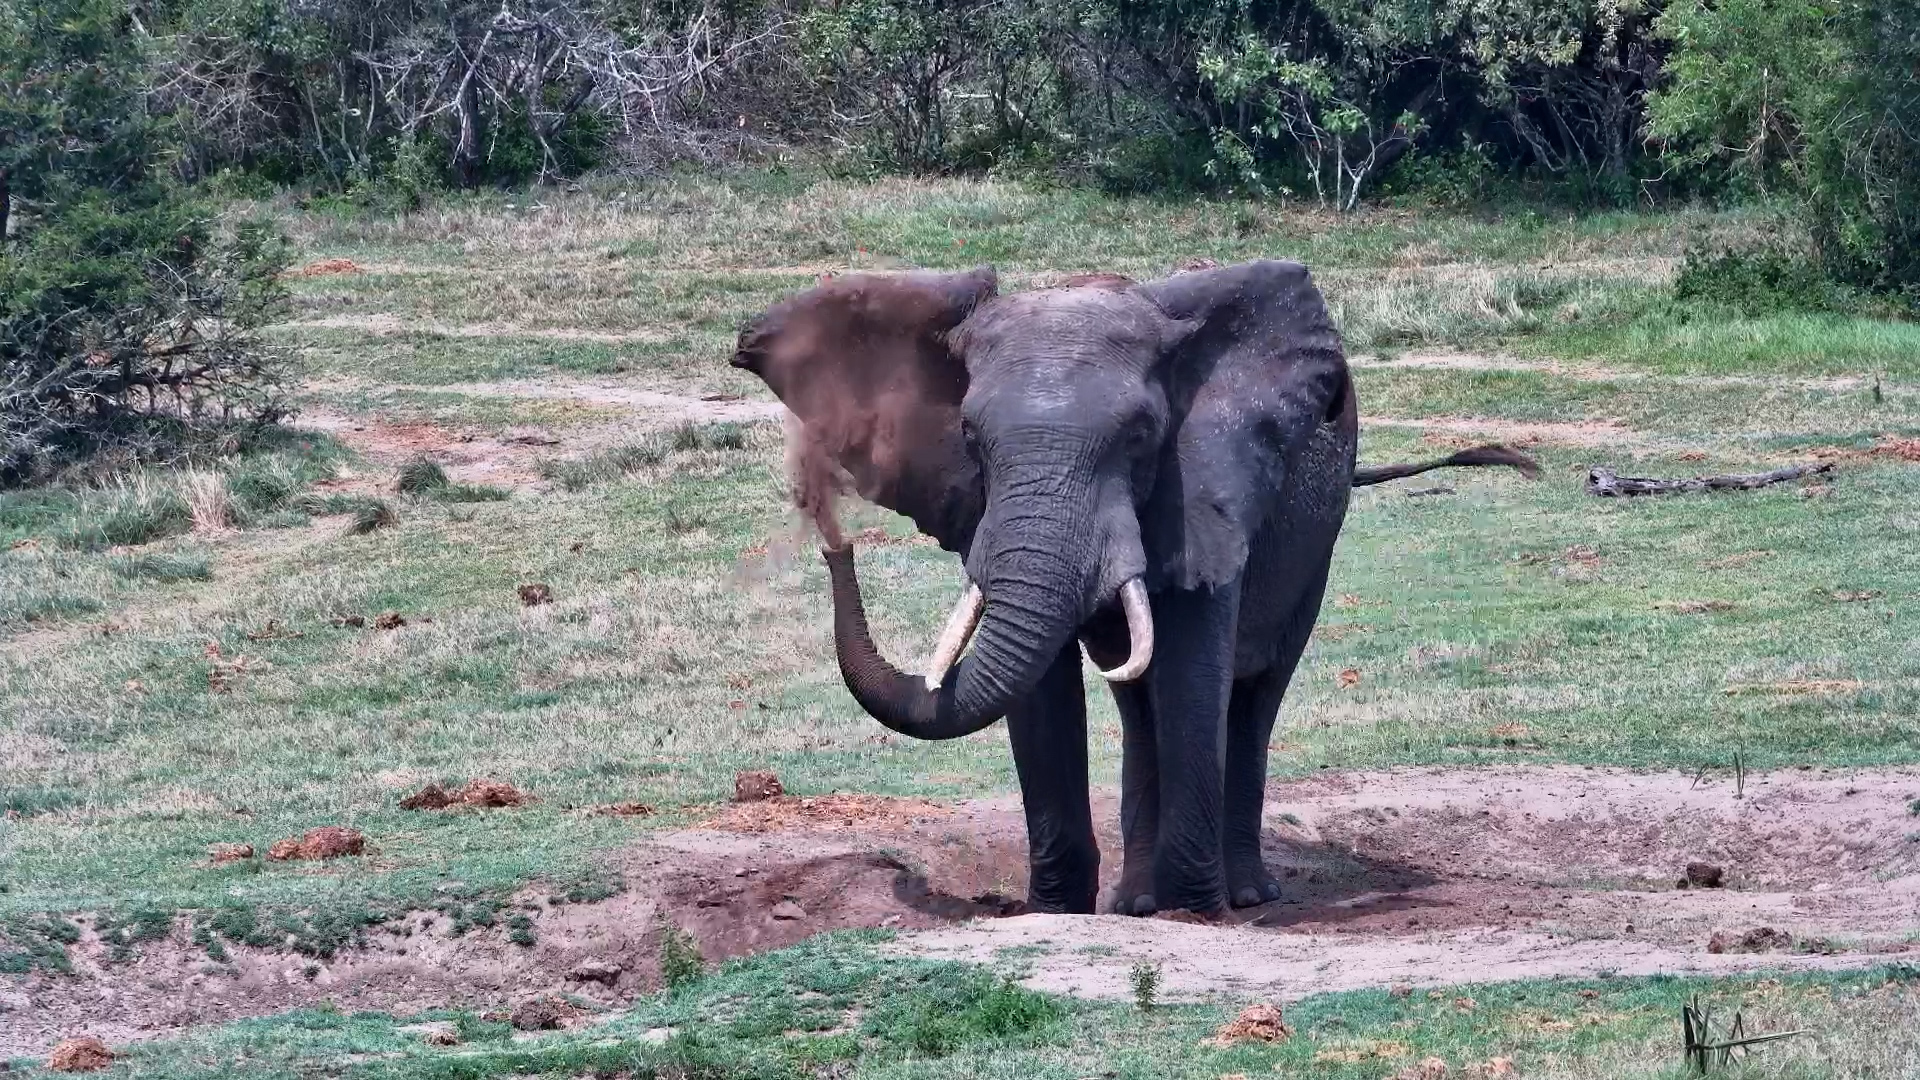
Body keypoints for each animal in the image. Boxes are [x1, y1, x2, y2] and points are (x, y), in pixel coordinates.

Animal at [730, 261, 1538, 916]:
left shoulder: (1213, 478)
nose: (832, 536)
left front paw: (1193, 913)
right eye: (969, 438)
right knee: (1136, 699)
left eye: (1143, 437)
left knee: (1256, 692)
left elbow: (1191, 664)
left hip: (1321, 529)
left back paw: (1242, 897)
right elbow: (1043, 690)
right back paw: (1134, 903)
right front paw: (1056, 912)